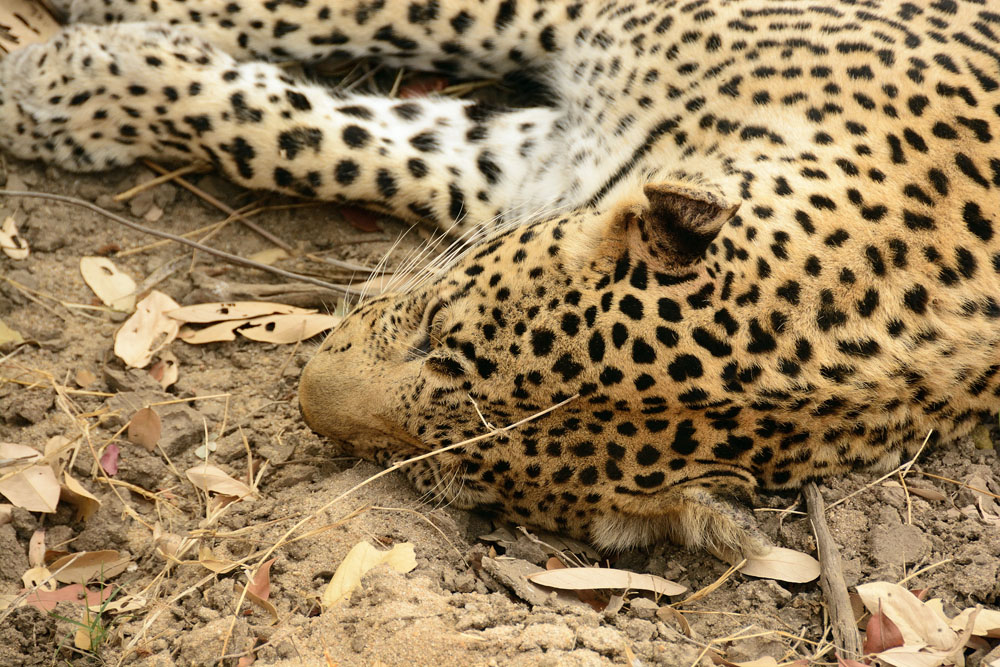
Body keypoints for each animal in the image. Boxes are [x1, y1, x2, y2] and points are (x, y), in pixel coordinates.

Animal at [2, 0, 999, 560]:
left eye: (450, 480)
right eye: (437, 329)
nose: (305, 398)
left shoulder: (526, 160)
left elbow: (329, 140)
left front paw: (56, 86)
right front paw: (60, 73)